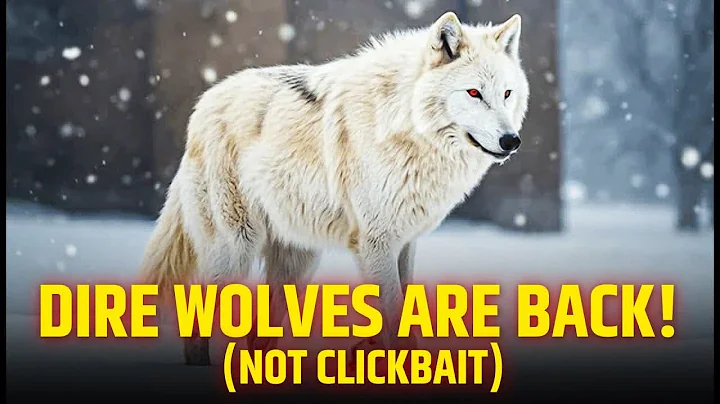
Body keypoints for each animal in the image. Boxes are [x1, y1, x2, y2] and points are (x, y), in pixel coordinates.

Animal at [139, 11, 529, 365]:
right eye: (474, 93)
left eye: (507, 94)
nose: (511, 141)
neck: (405, 126)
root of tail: (204, 105)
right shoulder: (376, 242)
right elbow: (394, 320)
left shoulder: (405, 243)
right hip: (235, 248)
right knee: (198, 319)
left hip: (297, 264)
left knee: (257, 336)